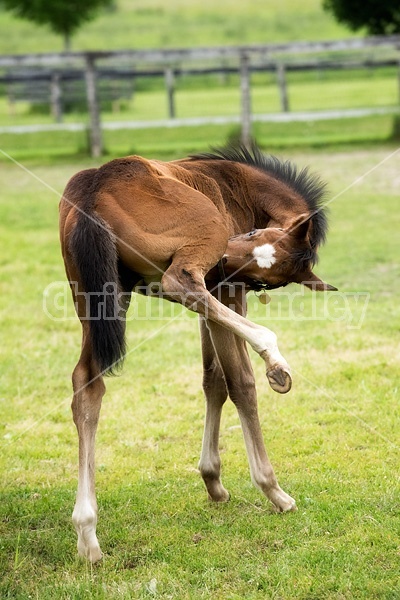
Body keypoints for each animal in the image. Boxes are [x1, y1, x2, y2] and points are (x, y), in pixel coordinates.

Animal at [60, 143, 334, 560]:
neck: (237, 185)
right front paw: (272, 490)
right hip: (188, 263)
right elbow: (240, 382)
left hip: (99, 297)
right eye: (252, 231)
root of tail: (96, 184)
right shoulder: (226, 293)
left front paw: (213, 481)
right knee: (179, 282)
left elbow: (213, 381)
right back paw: (273, 355)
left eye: (262, 281)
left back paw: (87, 533)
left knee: (87, 384)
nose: (221, 264)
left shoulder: (218, 299)